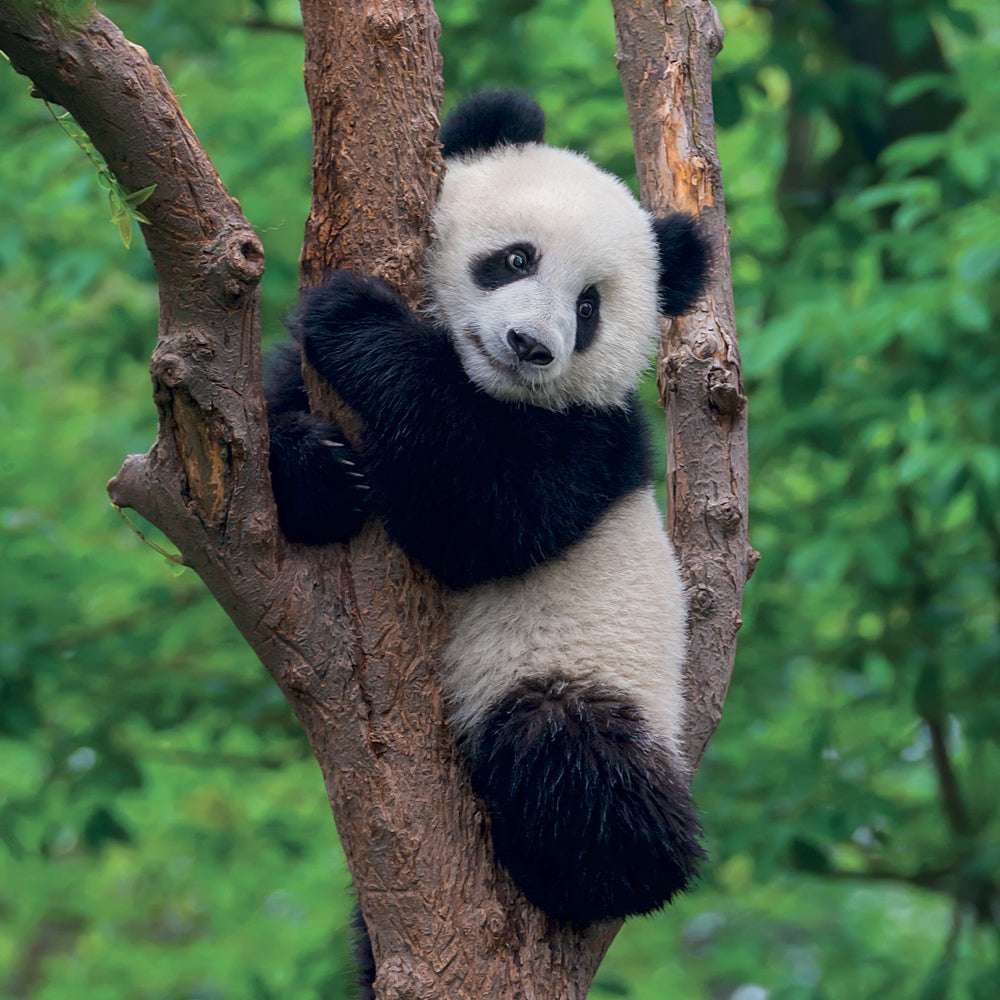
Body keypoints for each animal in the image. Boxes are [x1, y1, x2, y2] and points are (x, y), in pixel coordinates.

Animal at [266, 90, 709, 927]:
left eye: (589, 307)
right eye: (515, 259)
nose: (531, 345)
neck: (491, 387)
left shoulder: (591, 441)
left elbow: (478, 515)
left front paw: (354, 319)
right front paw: (319, 469)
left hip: (584, 672)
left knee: (572, 758)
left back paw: (589, 871)